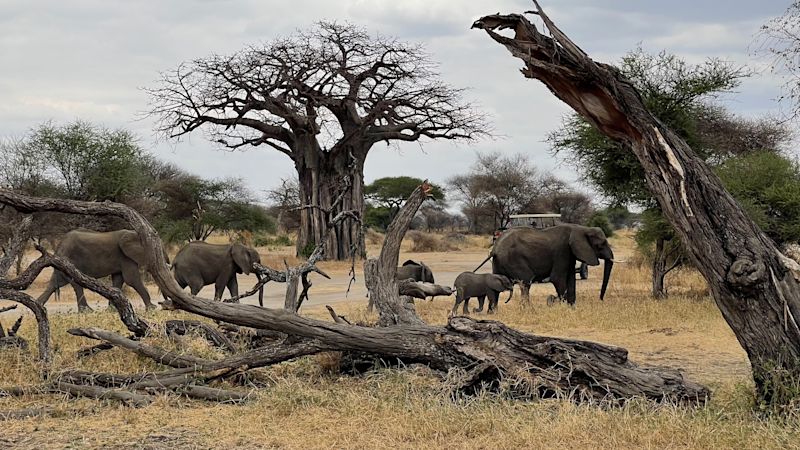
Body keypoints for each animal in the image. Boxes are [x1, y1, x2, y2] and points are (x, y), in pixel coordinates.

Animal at [478, 224, 616, 306]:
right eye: (600, 245)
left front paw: (571, 307)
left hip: (499, 262)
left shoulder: (569, 254)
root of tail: (495, 248)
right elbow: (557, 279)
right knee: (526, 282)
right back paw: (528, 309)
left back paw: (494, 311)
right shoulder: (562, 251)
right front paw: (558, 303)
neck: (581, 228)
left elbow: (571, 279)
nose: (601, 300)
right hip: (513, 260)